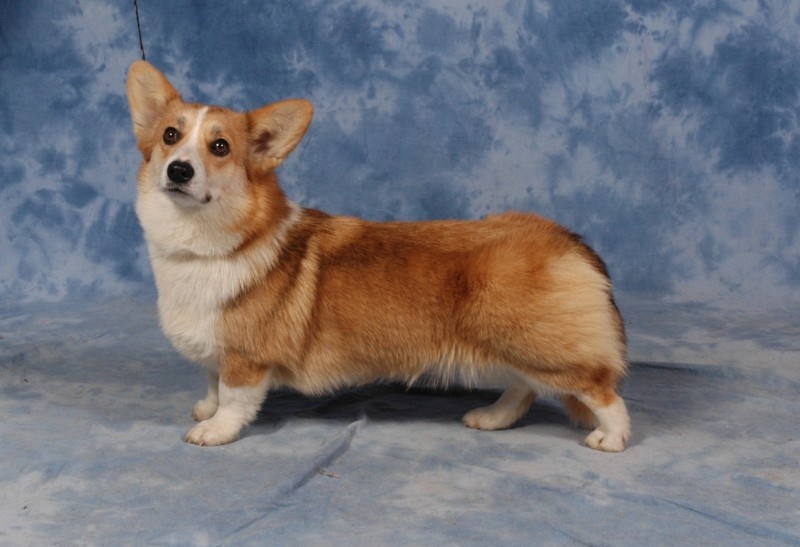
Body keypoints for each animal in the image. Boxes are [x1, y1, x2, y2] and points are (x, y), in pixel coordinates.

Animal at [126, 60, 630, 451]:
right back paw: (491, 417)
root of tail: (568, 239)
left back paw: (612, 438)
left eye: (220, 147)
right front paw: (204, 409)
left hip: (540, 347)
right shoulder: (216, 347)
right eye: (170, 135)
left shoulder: (245, 358)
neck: (206, 244)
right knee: (523, 389)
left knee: (601, 390)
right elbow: (212, 382)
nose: (179, 170)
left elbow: (233, 399)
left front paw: (214, 430)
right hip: (508, 345)